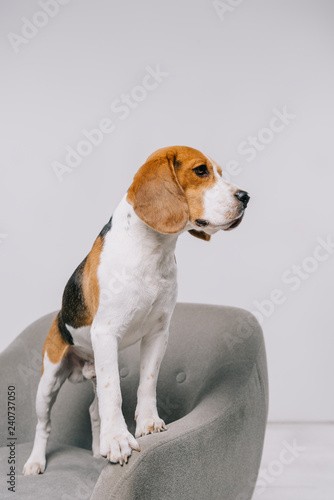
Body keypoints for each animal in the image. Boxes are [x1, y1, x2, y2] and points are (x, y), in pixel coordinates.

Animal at [22, 145, 248, 472]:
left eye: (219, 172)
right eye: (201, 171)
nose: (245, 196)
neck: (152, 251)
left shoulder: (158, 333)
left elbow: (147, 383)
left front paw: (148, 423)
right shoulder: (106, 334)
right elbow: (113, 394)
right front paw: (118, 441)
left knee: (94, 409)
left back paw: (96, 450)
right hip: (48, 381)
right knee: (45, 424)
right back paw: (36, 461)